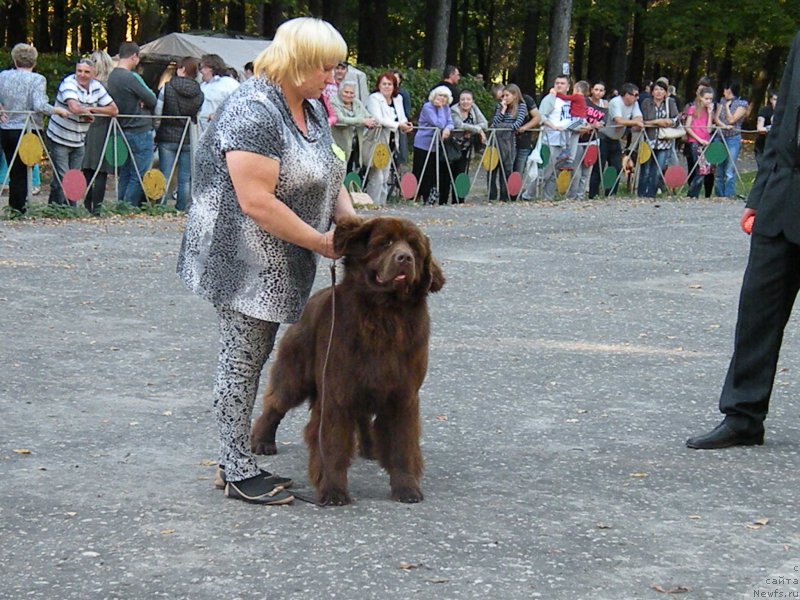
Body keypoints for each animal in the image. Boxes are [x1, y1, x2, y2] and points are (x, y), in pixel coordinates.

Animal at [252, 216, 444, 506]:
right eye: (385, 243)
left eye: (414, 247)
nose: (405, 258)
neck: (385, 314)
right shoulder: (336, 391)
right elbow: (331, 443)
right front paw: (333, 491)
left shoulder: (403, 394)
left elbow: (402, 445)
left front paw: (406, 488)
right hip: (296, 372)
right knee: (276, 403)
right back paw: (261, 441)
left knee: (362, 416)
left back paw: (370, 448)